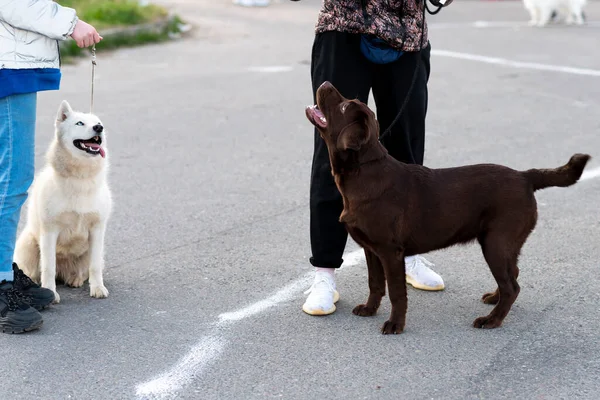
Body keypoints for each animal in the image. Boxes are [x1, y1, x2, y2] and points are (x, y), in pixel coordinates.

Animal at [14, 101, 112, 304]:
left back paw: (76, 279)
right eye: (80, 123)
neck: (80, 180)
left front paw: (98, 288)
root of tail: (64, 273)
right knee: (35, 271)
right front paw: (51, 292)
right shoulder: (50, 231)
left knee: (85, 269)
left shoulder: (97, 229)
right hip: (29, 244)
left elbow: (95, 266)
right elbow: (48, 267)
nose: (99, 128)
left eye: (98, 123)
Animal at [308, 80, 588, 334]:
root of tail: (525, 176)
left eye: (343, 106)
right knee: (513, 273)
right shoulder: (371, 249)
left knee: (512, 286)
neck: (362, 172)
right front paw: (369, 309)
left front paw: (395, 324)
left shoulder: (389, 251)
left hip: (496, 242)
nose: (325, 82)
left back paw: (491, 320)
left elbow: (397, 292)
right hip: (505, 243)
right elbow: (375, 283)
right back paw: (494, 299)